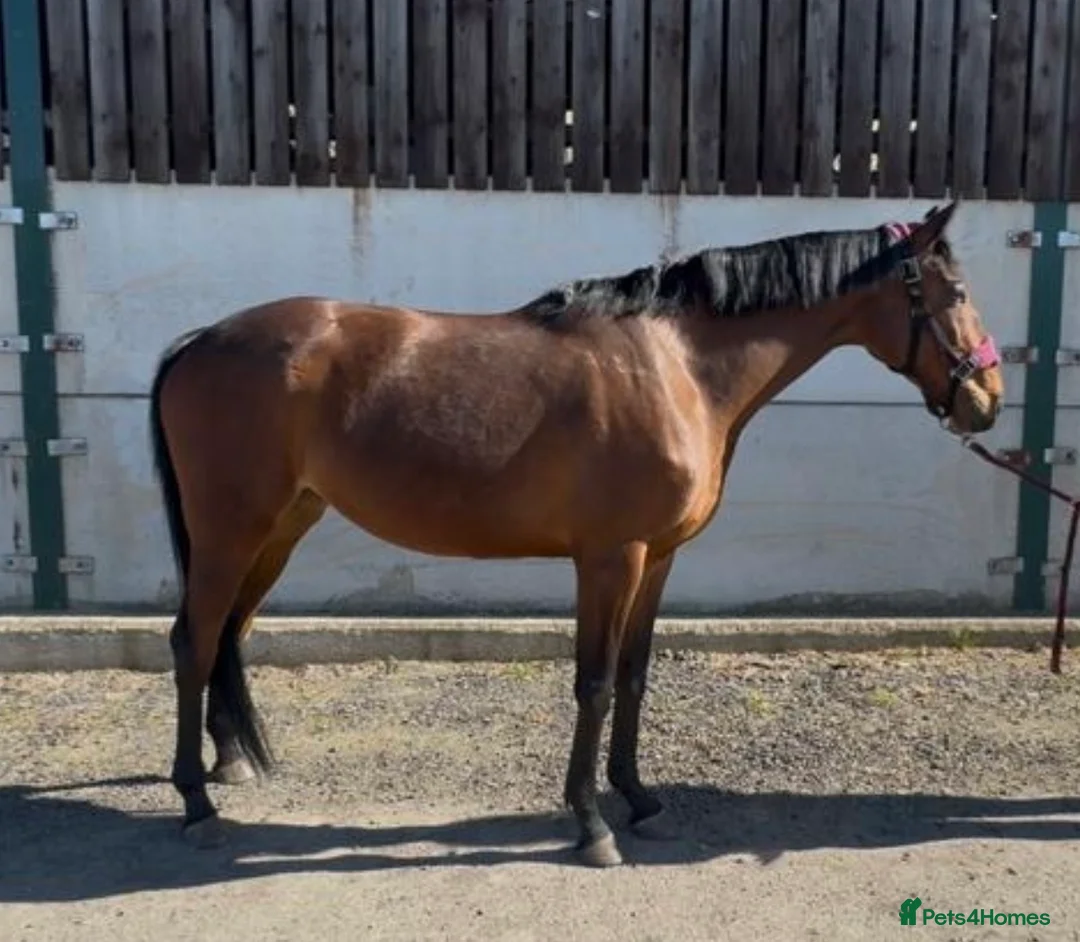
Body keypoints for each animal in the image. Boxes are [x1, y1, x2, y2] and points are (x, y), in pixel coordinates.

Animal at [148, 201, 1004, 867]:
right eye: (957, 292)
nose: (987, 400)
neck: (677, 368)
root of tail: (203, 339)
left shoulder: (657, 559)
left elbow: (632, 677)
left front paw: (640, 799)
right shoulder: (609, 559)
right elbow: (591, 683)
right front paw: (592, 824)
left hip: (281, 527)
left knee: (228, 633)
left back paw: (231, 764)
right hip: (231, 530)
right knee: (193, 640)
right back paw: (195, 803)